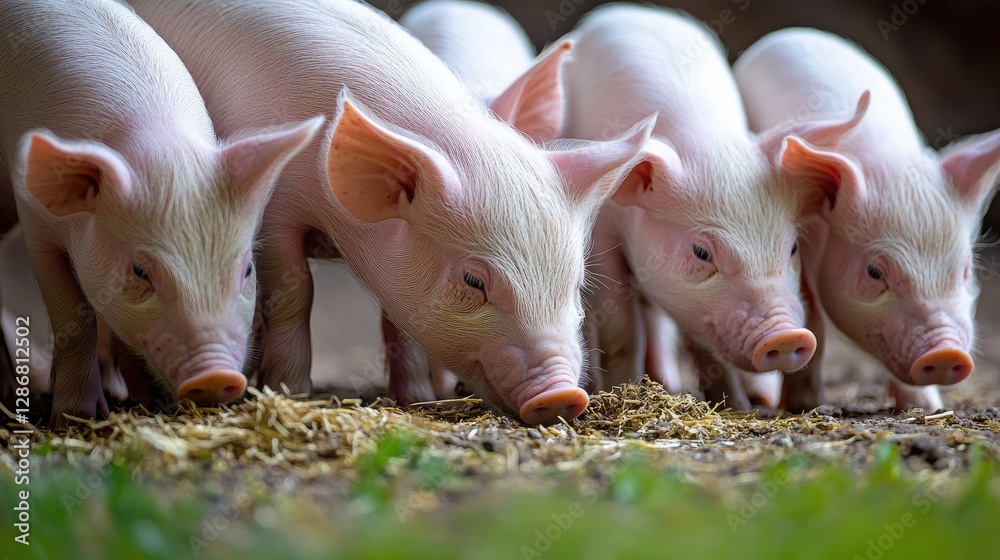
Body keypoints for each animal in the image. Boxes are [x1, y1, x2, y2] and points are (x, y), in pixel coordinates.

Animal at [0, 0, 322, 425]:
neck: (160, 141)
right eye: (140, 271)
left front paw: (144, 399)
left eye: (248, 270)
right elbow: (75, 317)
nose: (216, 375)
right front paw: (77, 417)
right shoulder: (35, 223)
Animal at [129, 0, 657, 425]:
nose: (565, 395)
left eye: (574, 282)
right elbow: (295, 294)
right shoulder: (274, 215)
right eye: (473, 281)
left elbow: (396, 320)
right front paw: (293, 393)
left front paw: (417, 401)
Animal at [562, 6, 848, 409]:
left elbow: (704, 343)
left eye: (792, 247)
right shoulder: (602, 234)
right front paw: (625, 390)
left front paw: (738, 407)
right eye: (701, 252)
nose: (786, 336)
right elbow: (622, 328)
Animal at [734, 28, 1000, 412]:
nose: (947, 353)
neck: (886, 160)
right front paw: (805, 404)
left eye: (965, 270)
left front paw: (926, 408)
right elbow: (811, 318)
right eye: (875, 272)